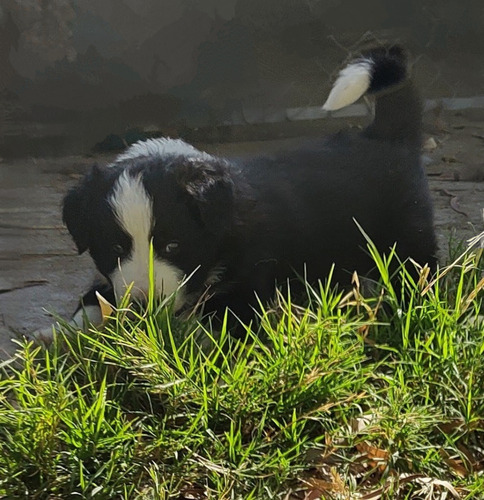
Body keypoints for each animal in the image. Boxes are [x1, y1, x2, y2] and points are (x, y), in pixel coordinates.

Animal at [41, 45, 436, 338]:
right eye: (115, 249)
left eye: (173, 246)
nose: (142, 305)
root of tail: (384, 134)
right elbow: (94, 300)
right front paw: (62, 333)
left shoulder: (247, 284)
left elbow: (224, 325)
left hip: (407, 234)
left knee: (419, 269)